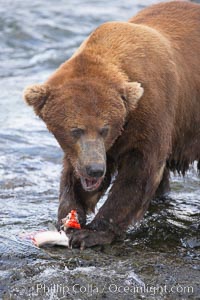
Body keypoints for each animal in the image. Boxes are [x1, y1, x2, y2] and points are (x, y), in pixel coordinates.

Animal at [23, 0, 200, 248]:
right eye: (75, 130)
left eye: (104, 129)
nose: (95, 169)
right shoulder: (89, 150)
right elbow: (73, 174)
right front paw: (70, 216)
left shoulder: (152, 112)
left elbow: (139, 172)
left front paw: (92, 233)